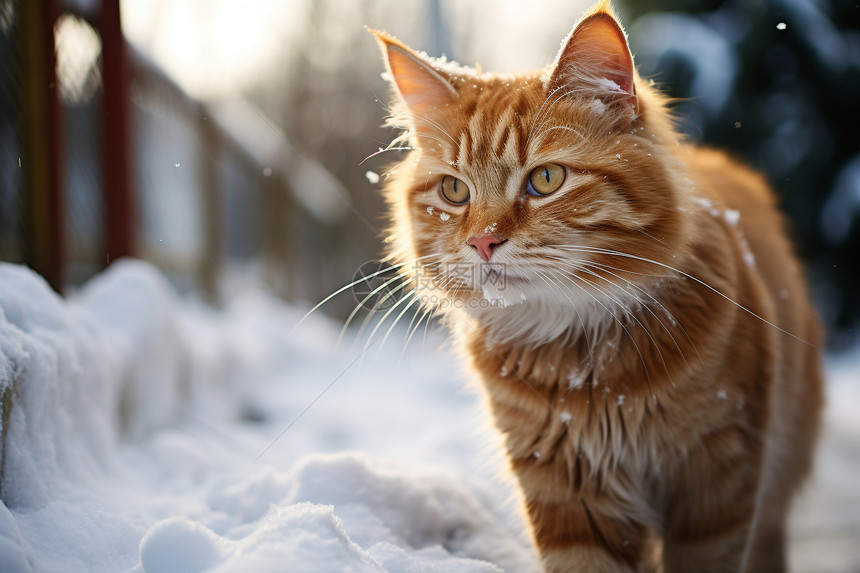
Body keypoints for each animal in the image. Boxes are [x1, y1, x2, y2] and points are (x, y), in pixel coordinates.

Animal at [372, 2, 828, 568]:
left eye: (546, 180)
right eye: (455, 191)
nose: (481, 242)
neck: (585, 366)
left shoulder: (716, 484)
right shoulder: (570, 495)